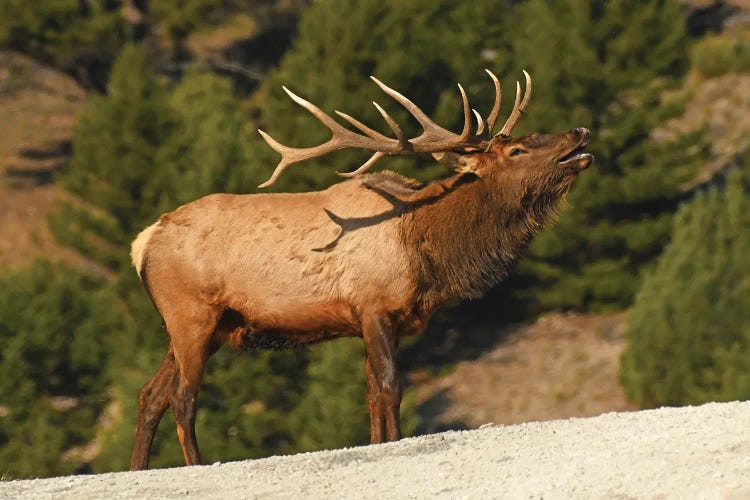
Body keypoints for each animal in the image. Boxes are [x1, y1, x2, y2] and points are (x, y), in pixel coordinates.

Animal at [132, 69, 596, 468]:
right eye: (517, 149)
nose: (579, 131)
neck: (427, 253)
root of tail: (144, 242)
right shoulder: (374, 306)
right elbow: (390, 388)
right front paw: (391, 442)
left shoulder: (383, 319)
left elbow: (373, 392)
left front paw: (377, 442)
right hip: (192, 313)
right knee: (183, 396)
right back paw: (196, 464)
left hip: (204, 325)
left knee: (151, 393)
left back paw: (138, 469)